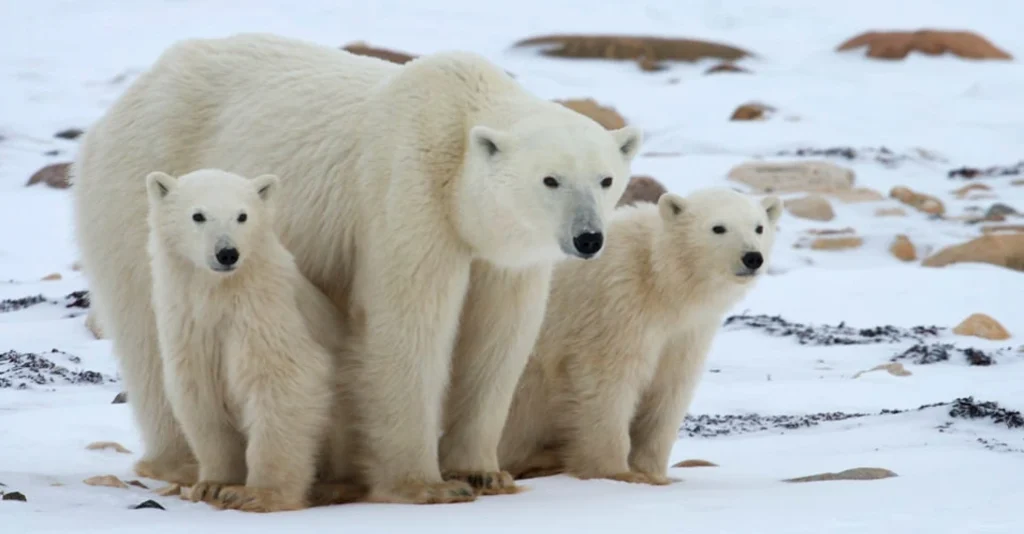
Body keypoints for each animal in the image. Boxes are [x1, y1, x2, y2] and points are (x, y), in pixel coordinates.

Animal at [74, 34, 638, 504]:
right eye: (551, 179)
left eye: (606, 178)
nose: (588, 238)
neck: (456, 124)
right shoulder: (407, 191)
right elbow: (406, 325)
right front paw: (426, 485)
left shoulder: (502, 253)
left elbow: (499, 338)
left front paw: (482, 472)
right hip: (141, 190)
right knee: (148, 329)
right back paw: (186, 463)